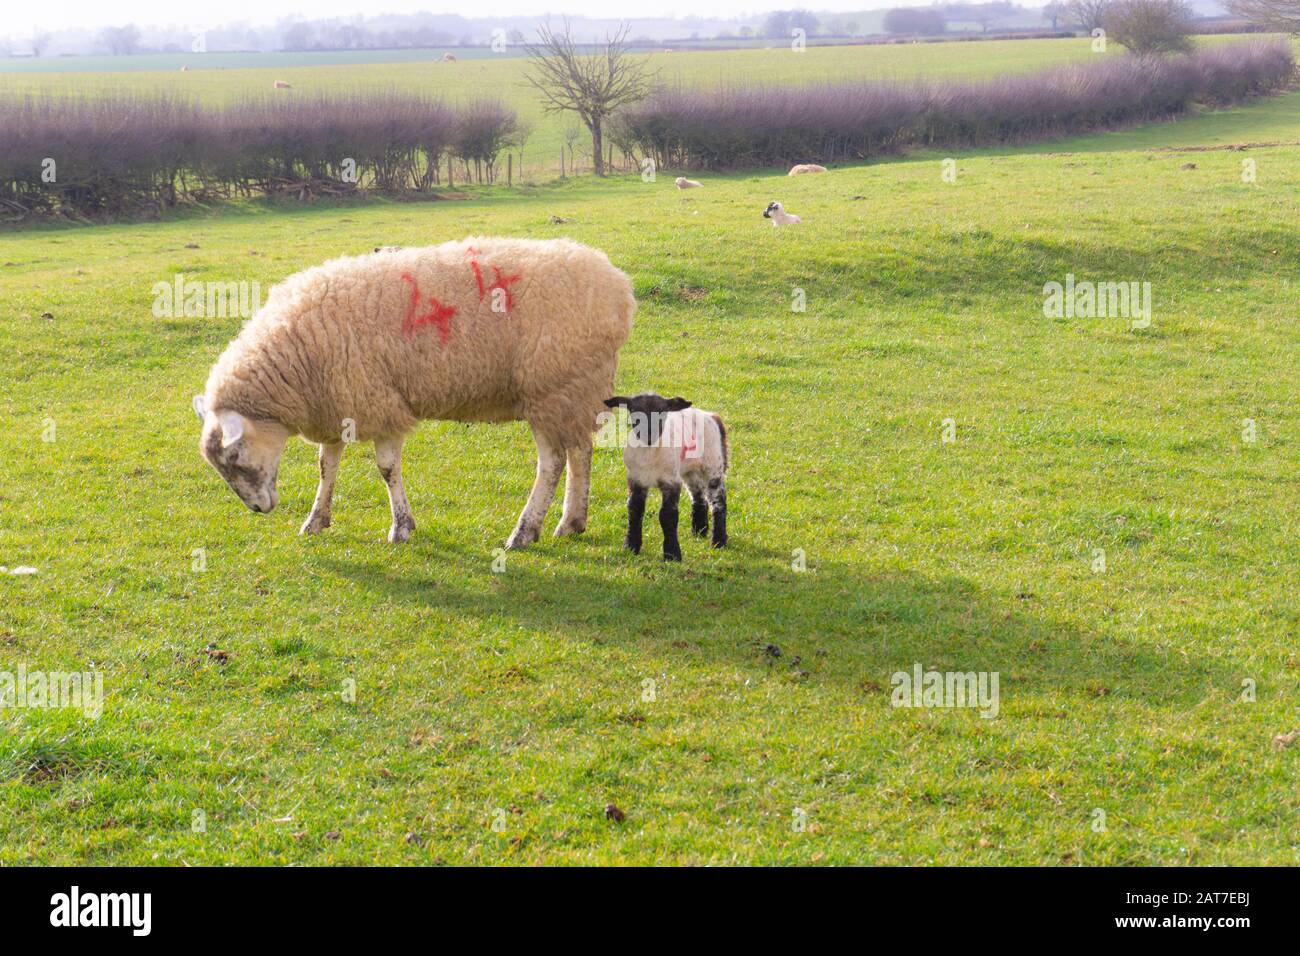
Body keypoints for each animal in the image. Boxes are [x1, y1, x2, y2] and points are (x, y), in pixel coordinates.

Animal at [192, 237, 636, 549]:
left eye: (234, 457)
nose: (258, 509)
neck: (294, 358)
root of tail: (620, 288)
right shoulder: (337, 403)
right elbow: (326, 466)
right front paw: (317, 519)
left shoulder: (380, 403)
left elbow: (387, 469)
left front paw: (402, 527)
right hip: (574, 391)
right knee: (581, 450)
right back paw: (571, 522)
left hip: (549, 388)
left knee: (553, 461)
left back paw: (525, 531)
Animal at [602, 392, 729, 561]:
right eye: (634, 411)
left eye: (662, 411)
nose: (649, 434)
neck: (649, 454)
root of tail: (712, 416)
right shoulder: (636, 479)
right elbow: (634, 510)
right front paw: (630, 546)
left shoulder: (671, 481)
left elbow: (668, 515)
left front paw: (672, 553)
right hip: (690, 470)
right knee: (698, 497)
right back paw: (699, 531)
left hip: (713, 465)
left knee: (718, 502)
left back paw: (718, 541)